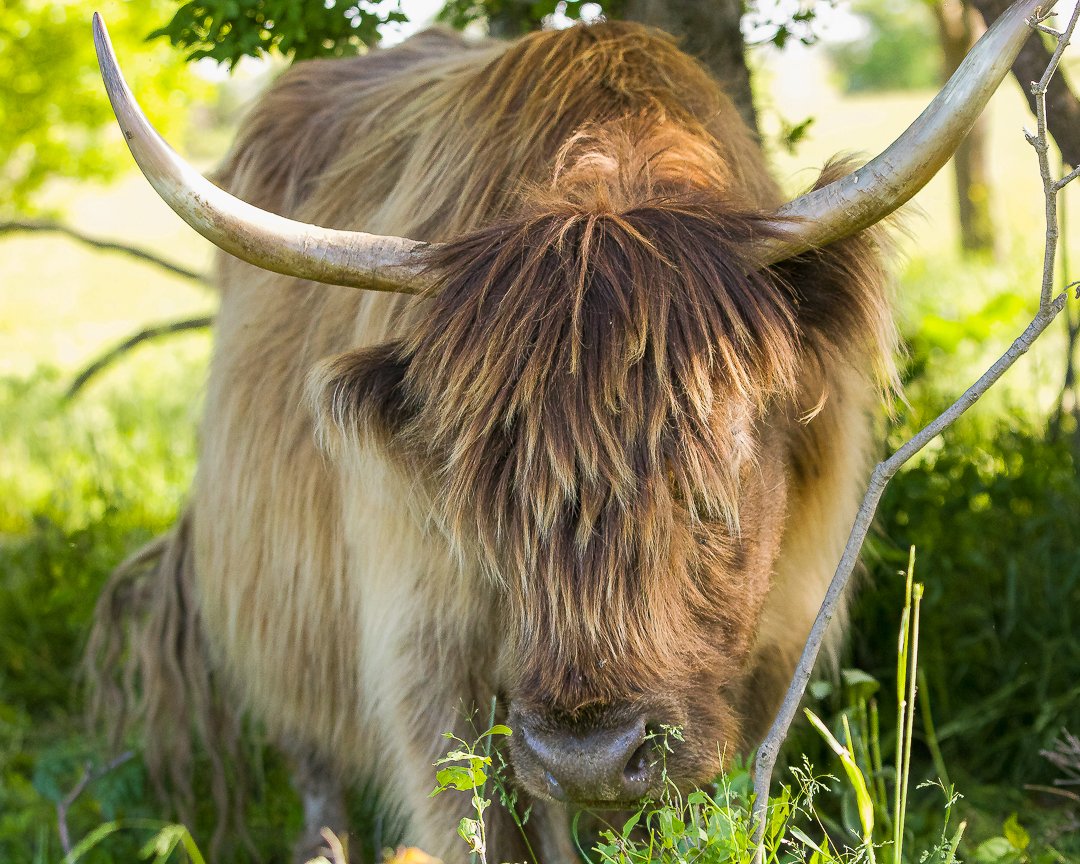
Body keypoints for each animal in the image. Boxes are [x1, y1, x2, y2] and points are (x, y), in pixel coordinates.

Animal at [86, 3, 1044, 861]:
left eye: (717, 469)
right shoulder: (432, 667)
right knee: (314, 762)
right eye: (477, 489)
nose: (587, 757)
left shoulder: (778, 641)